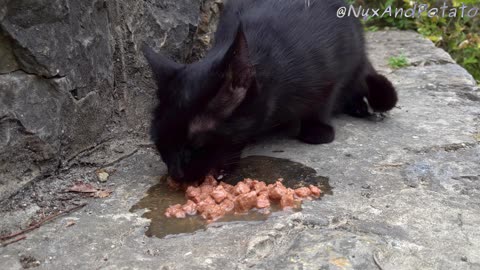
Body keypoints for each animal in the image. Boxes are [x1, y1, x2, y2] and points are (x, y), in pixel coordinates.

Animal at [142, 0, 398, 184]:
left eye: (194, 146)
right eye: (158, 143)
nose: (175, 173)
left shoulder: (331, 68)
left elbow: (324, 101)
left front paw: (317, 129)